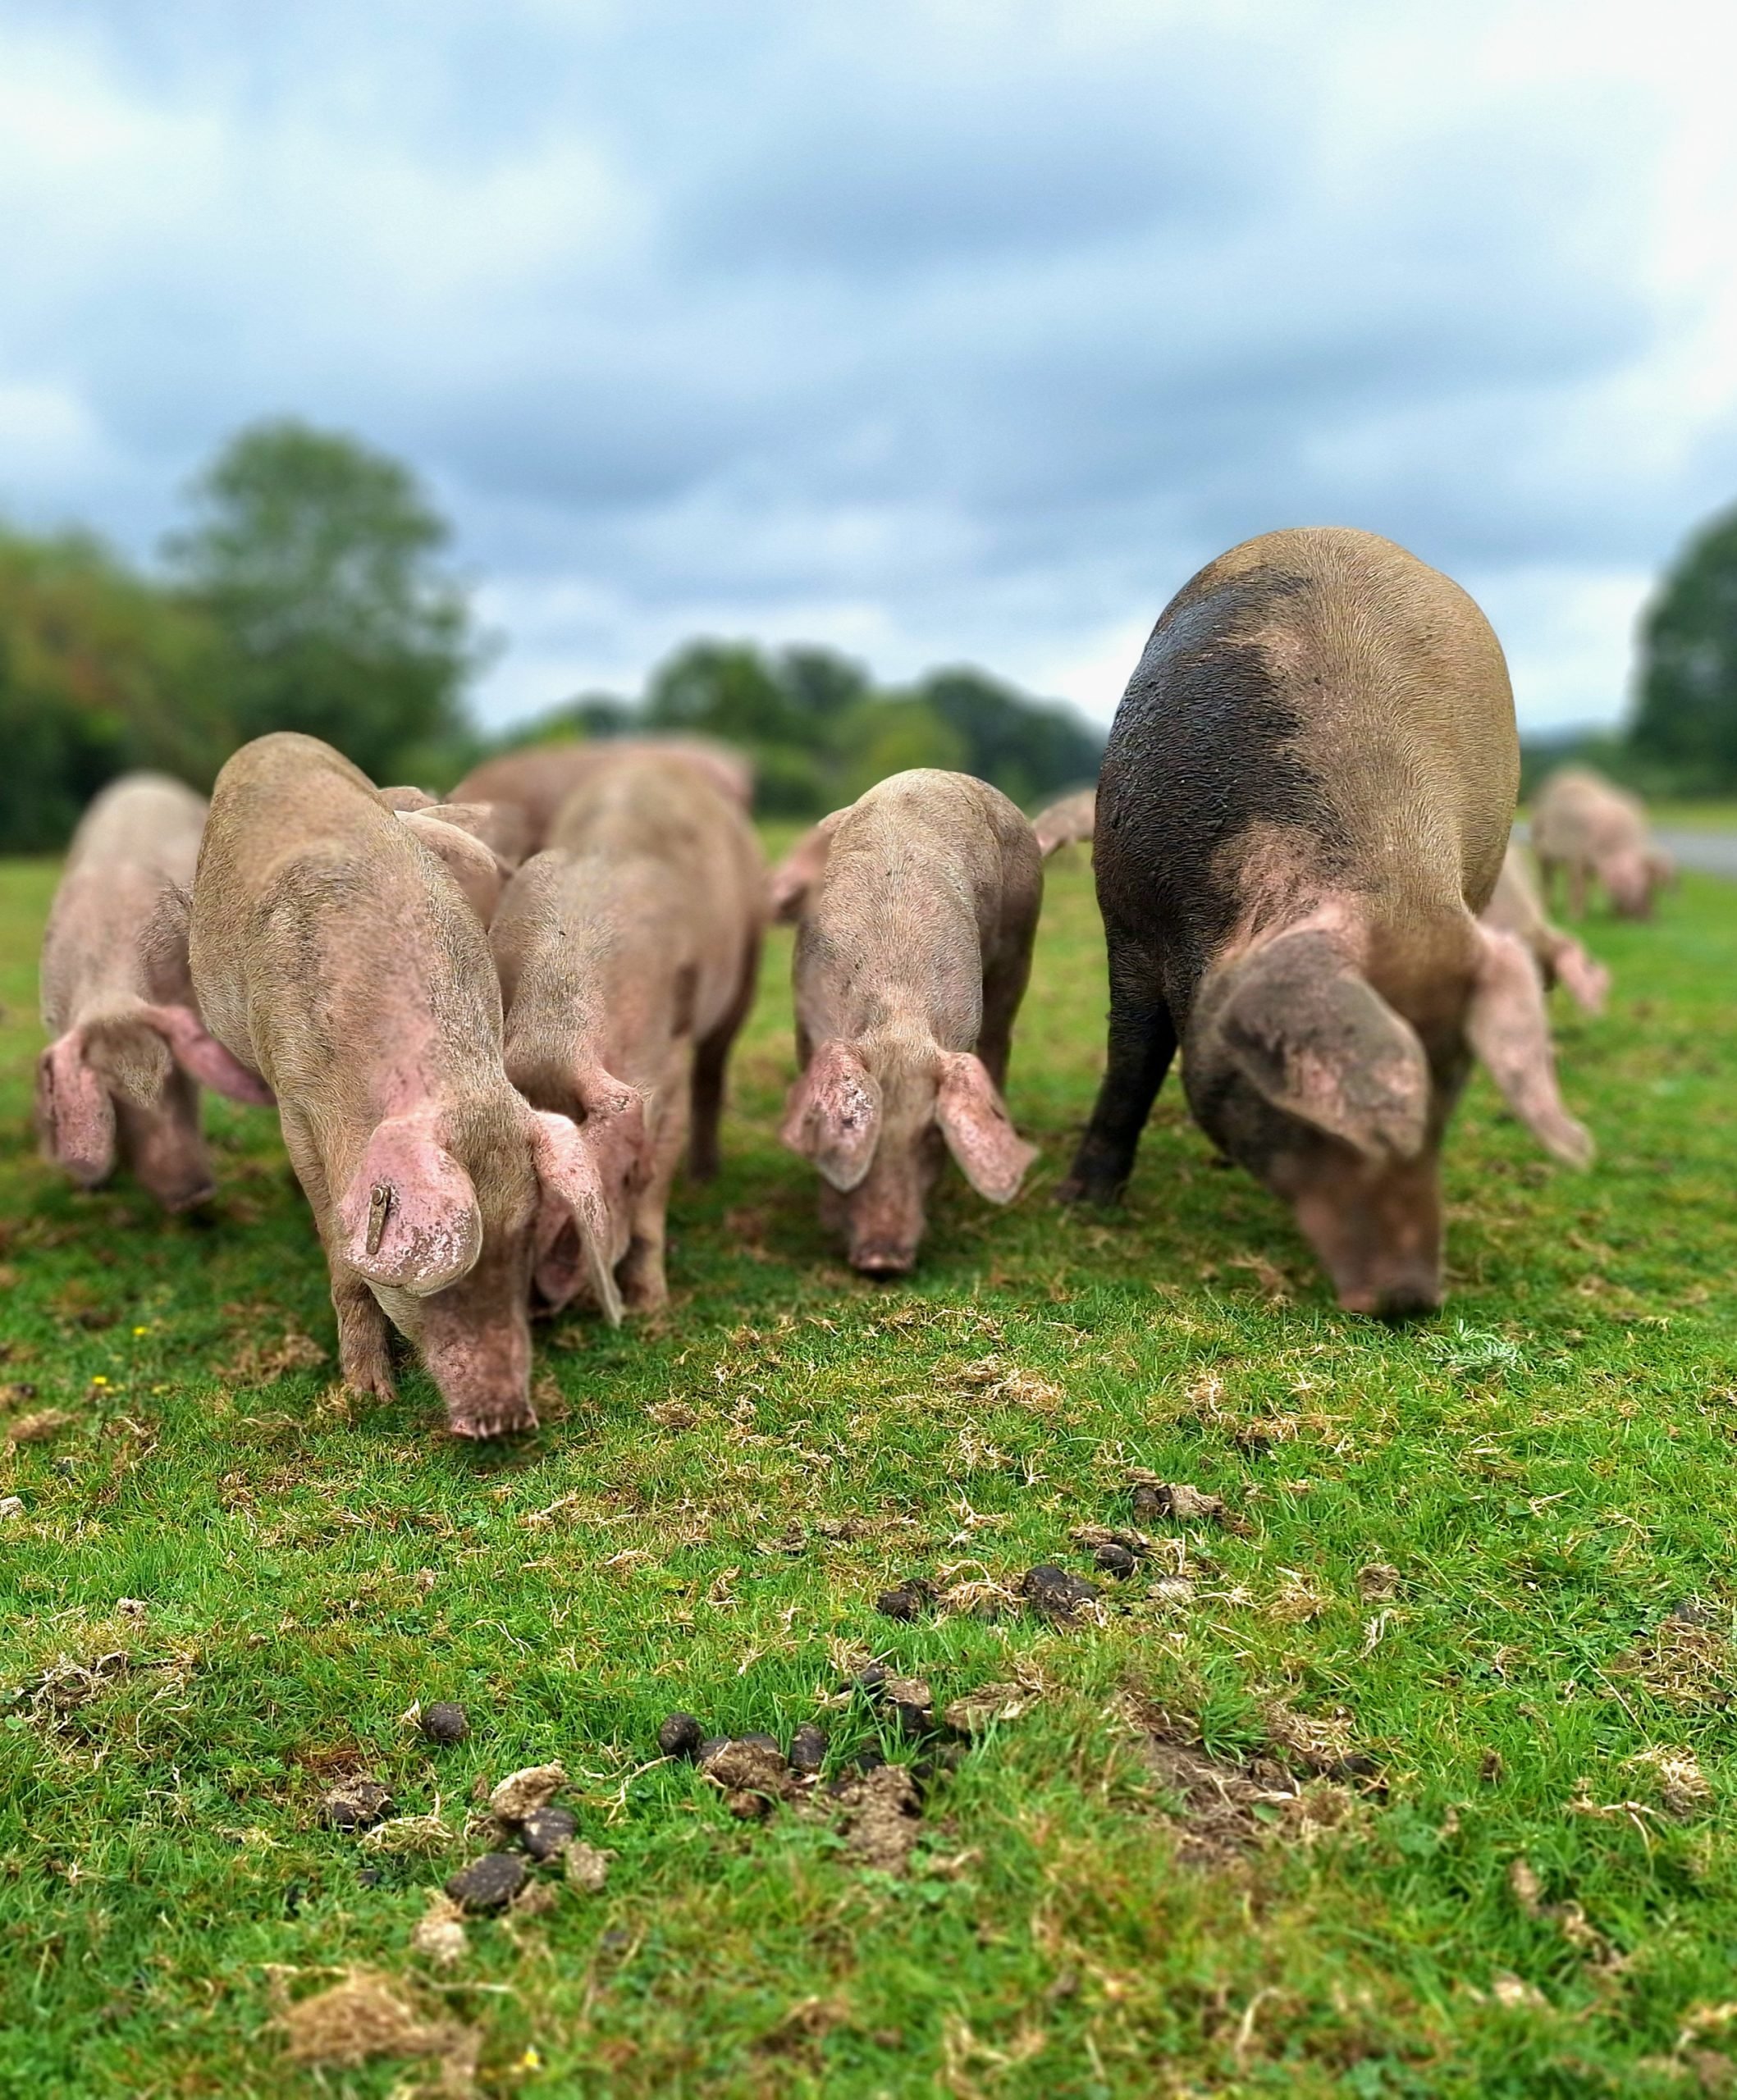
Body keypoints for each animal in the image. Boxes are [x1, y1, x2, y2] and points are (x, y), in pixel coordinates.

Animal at [37, 772, 272, 1209]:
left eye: (173, 1073)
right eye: (111, 1094)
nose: (193, 1195)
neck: (111, 1000)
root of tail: (144, 778)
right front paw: (92, 1187)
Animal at [185, 732, 630, 1438]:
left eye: (524, 1240)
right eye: (434, 1273)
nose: (507, 1418)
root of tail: (275, 740)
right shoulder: (295, 1098)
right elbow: (337, 1246)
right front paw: (369, 1395)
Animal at [489, 753, 767, 1312]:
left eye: (625, 1173)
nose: (540, 1298)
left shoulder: (668, 1063)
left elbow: (658, 1181)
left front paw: (649, 1304)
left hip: (748, 962)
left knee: (713, 1071)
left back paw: (705, 1178)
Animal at [780, 769, 1042, 1277]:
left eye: (933, 1136)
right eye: (854, 1123)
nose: (883, 1259)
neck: (895, 1019)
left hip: (1023, 935)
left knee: (1001, 1040)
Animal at [1531, 766, 1672, 920]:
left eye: (1654, 888)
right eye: (1644, 886)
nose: (1653, 918)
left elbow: (1589, 886)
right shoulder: (1576, 853)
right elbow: (1577, 884)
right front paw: (1575, 918)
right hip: (1538, 835)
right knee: (1546, 876)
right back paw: (1547, 909)